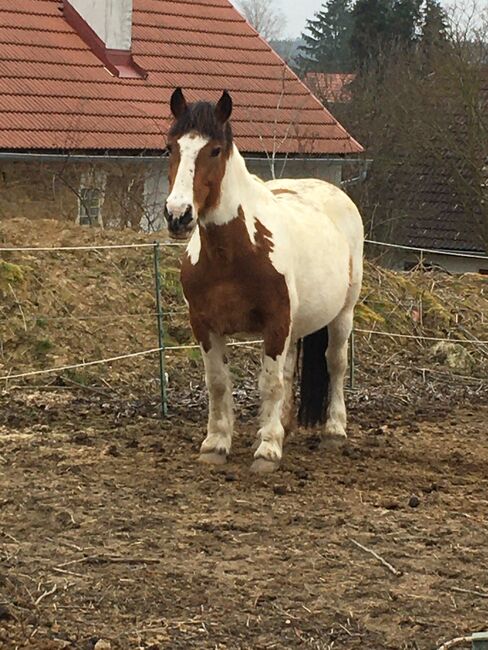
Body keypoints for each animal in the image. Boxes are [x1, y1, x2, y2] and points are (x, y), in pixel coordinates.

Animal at [166, 87, 364, 470]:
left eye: (214, 150)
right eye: (171, 147)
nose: (177, 215)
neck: (233, 255)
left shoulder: (275, 323)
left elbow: (269, 384)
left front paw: (268, 451)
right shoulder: (205, 326)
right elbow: (218, 383)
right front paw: (216, 444)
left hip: (342, 314)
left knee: (335, 363)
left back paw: (334, 431)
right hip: (296, 326)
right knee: (288, 373)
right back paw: (282, 427)